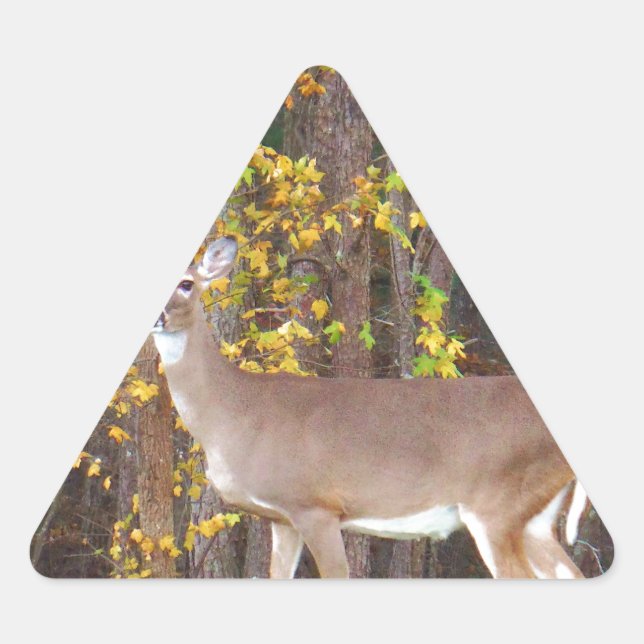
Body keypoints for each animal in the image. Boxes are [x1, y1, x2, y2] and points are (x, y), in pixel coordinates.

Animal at [151, 236, 587, 579]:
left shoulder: (316, 504)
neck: (234, 414)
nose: (159, 316)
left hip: (498, 503)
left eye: (187, 283)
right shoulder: (281, 517)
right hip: (534, 518)